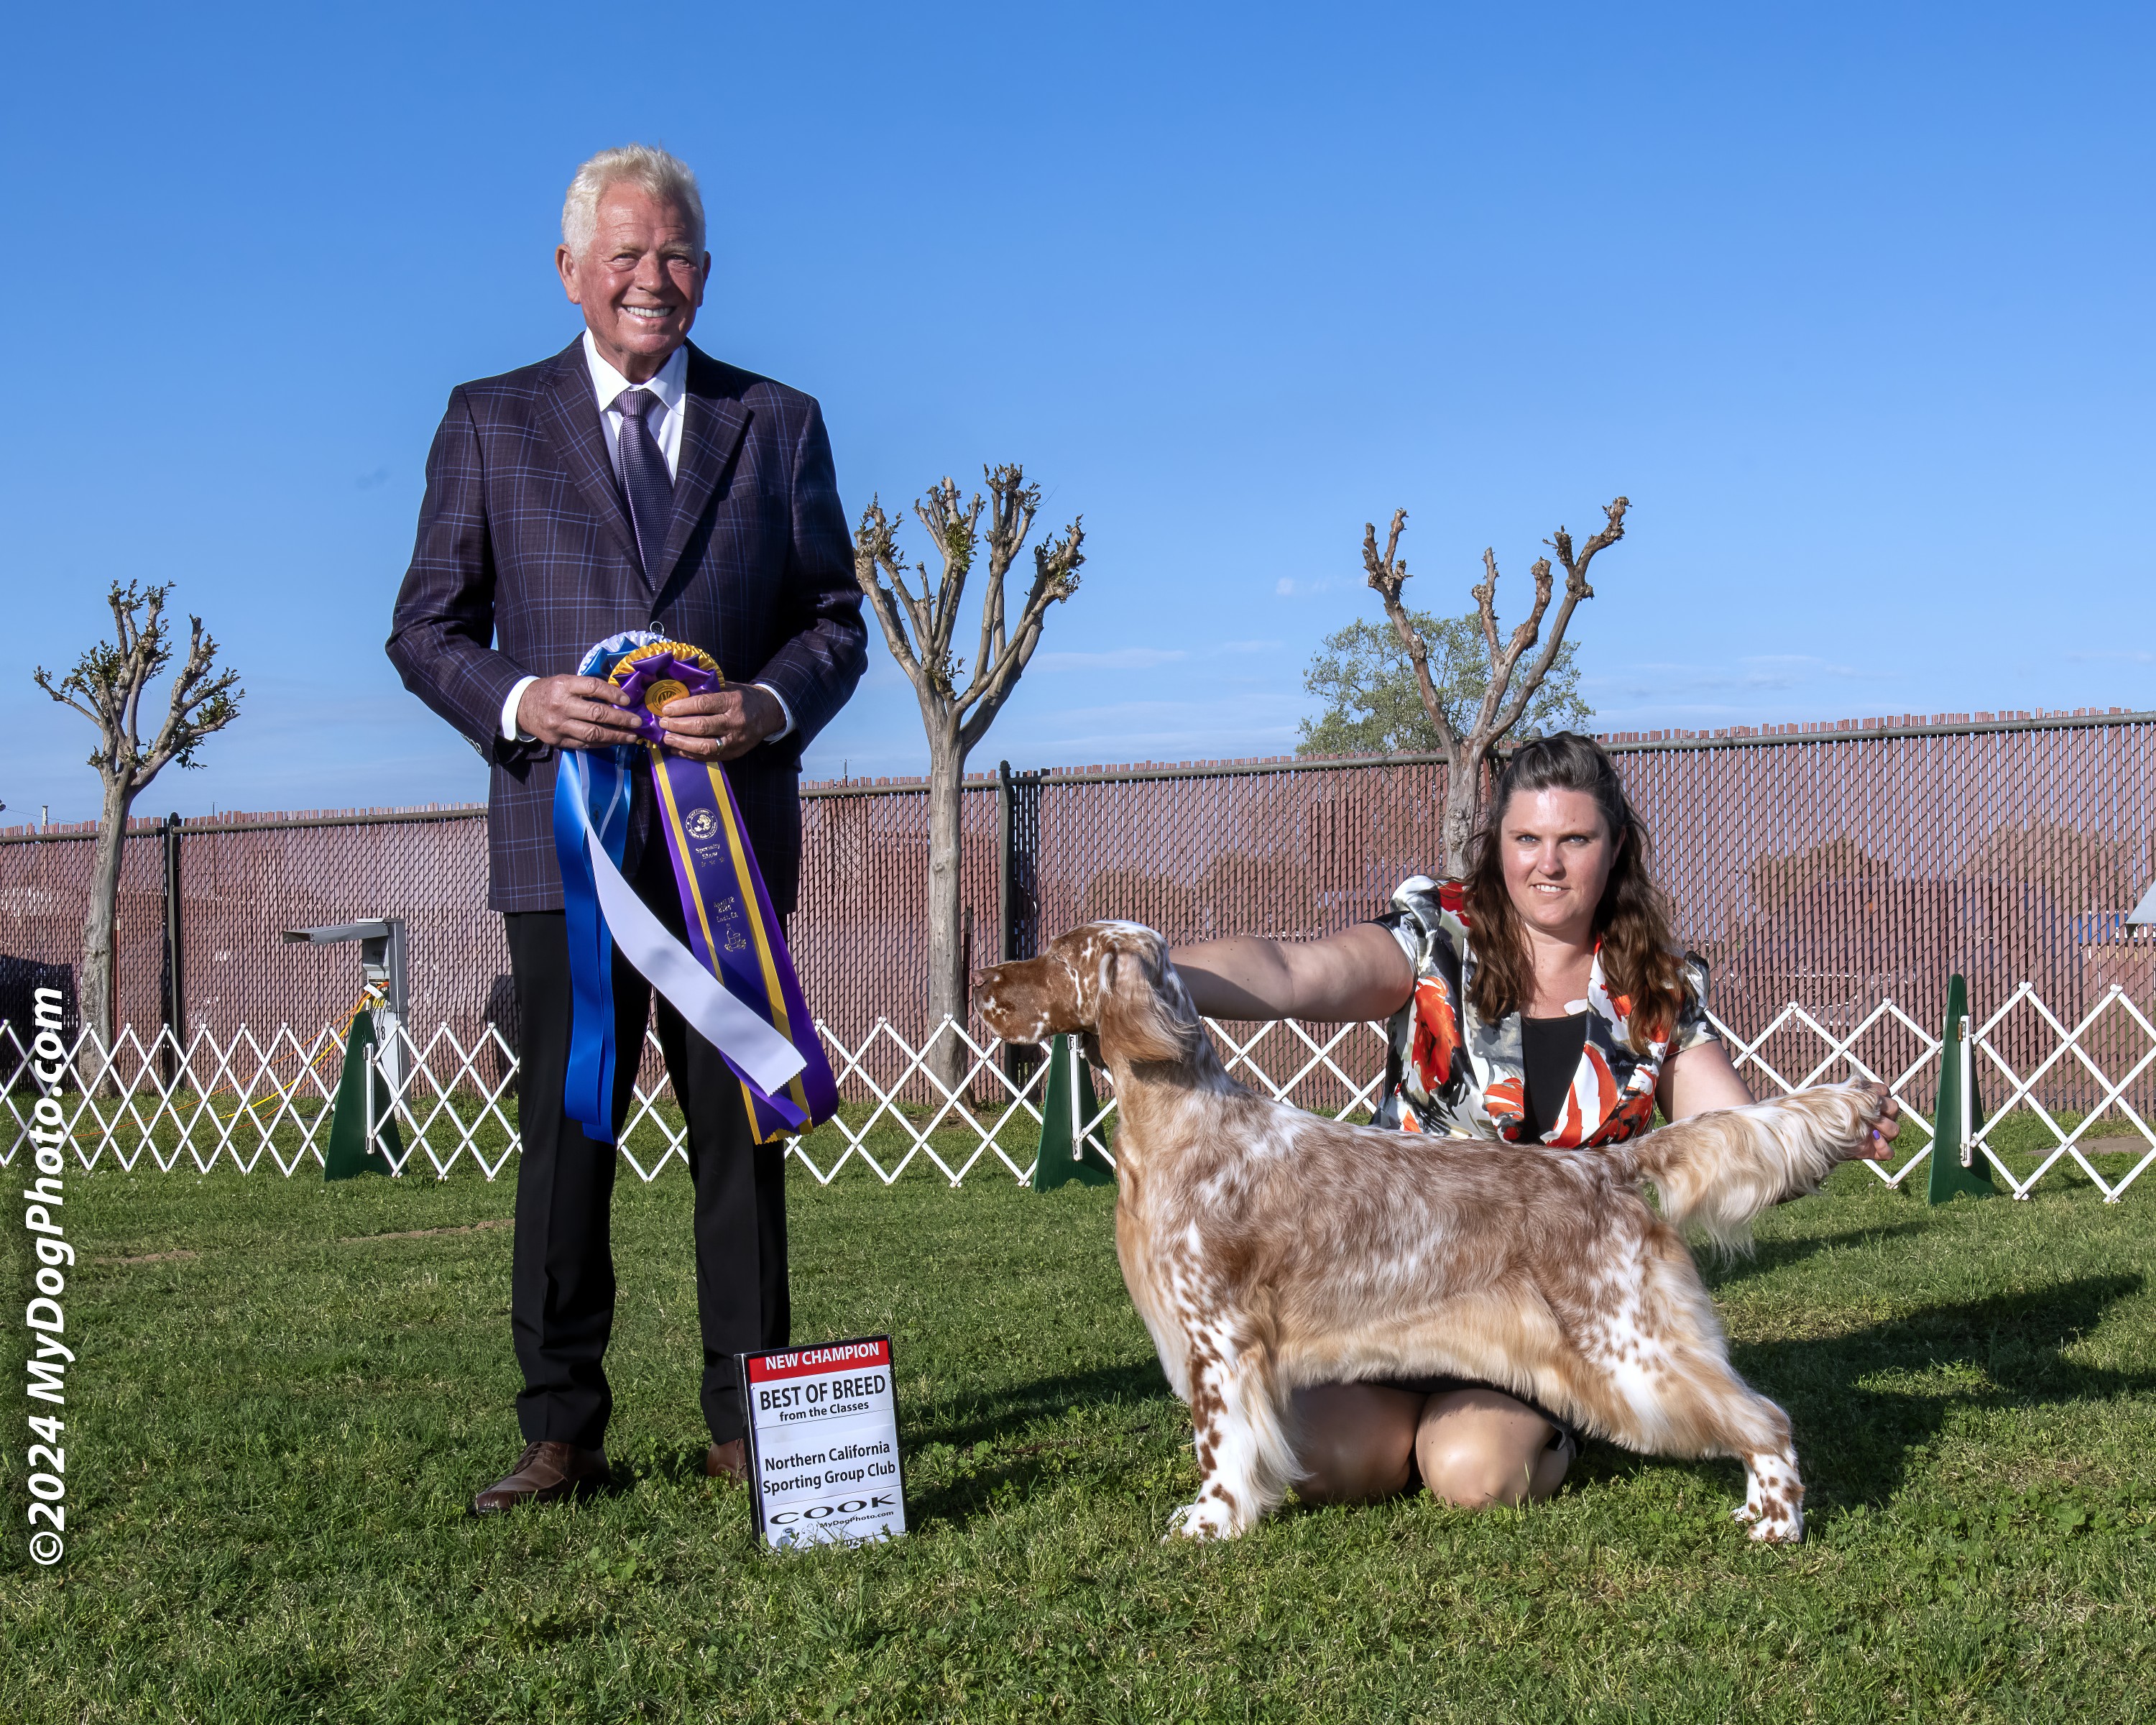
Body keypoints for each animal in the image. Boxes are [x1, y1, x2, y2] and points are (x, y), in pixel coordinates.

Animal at [974, 921, 1889, 1544]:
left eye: (1061, 954)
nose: (982, 979)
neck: (1183, 1121)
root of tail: (1607, 1168)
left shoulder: (1218, 1341)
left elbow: (1219, 1450)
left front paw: (1209, 1525)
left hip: (1633, 1348)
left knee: (1764, 1419)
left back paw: (1774, 1522)